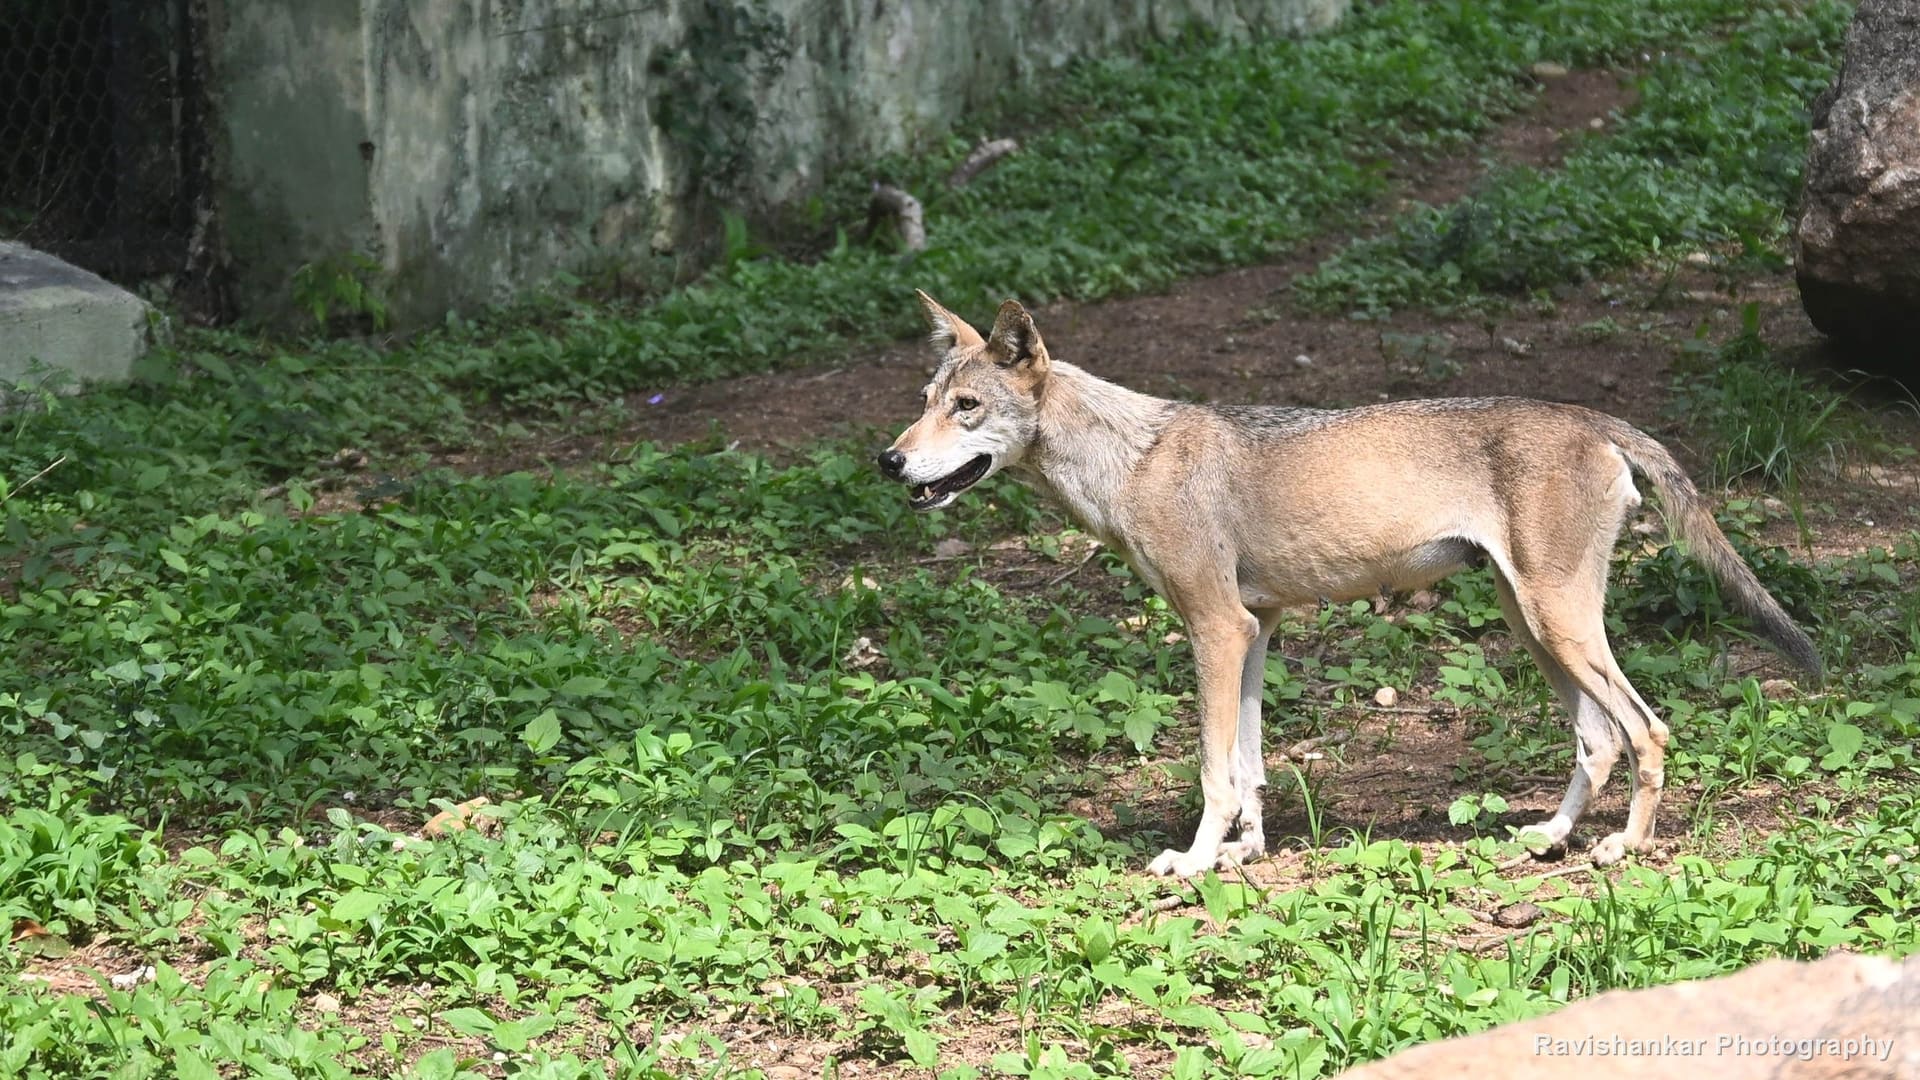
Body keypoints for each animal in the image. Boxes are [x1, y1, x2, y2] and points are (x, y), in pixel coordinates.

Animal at [877, 291, 1821, 877]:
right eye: (923, 399)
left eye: (965, 408)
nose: (888, 460)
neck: (1128, 461)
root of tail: (1592, 417)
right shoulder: (1255, 630)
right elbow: (1251, 767)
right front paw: (1244, 854)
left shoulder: (1215, 629)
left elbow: (1214, 771)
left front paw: (1195, 862)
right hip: (1533, 626)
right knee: (1599, 739)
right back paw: (1548, 838)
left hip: (1559, 625)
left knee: (1647, 729)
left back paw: (1622, 849)